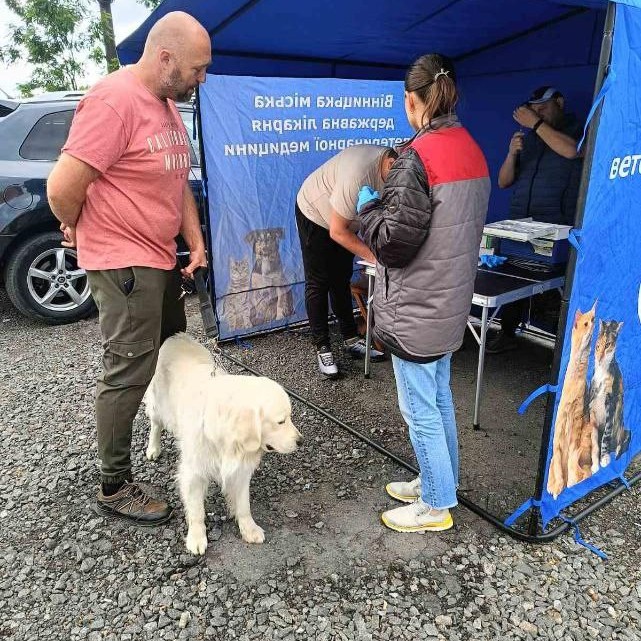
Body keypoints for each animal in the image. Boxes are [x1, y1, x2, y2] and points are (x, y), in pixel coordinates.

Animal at [144, 333, 302, 554]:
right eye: (281, 421)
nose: (300, 441)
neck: (228, 441)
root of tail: (176, 336)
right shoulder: (193, 472)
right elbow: (197, 510)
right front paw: (196, 537)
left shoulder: (241, 469)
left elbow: (244, 505)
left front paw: (249, 528)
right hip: (159, 406)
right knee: (155, 424)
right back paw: (153, 448)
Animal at [588, 320, 631, 470]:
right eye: (597, 346)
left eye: (607, 345)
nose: (599, 357)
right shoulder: (592, 409)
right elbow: (595, 441)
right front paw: (595, 465)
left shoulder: (611, 402)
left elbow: (606, 435)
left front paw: (604, 459)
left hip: (626, 430)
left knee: (621, 444)